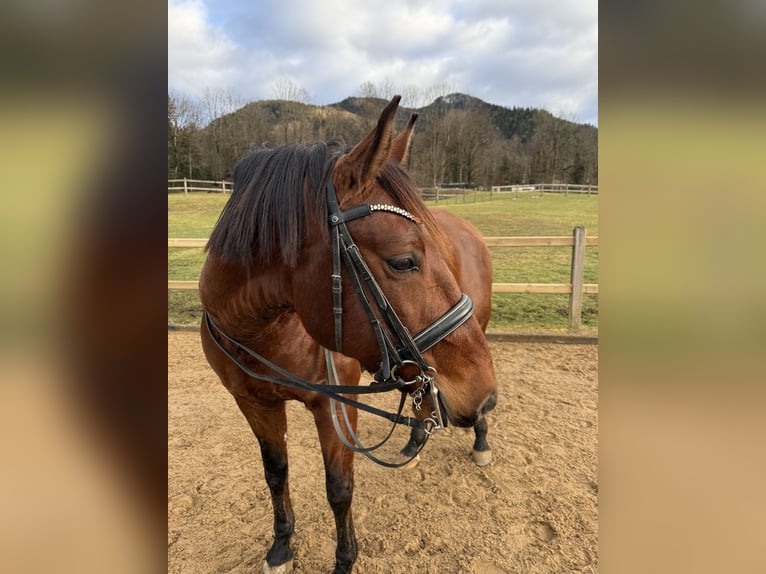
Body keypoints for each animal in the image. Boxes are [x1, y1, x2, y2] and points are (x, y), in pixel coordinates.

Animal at [198, 99, 498, 574]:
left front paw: (344, 560)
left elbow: (339, 487)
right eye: (404, 261)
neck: (261, 330)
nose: (483, 391)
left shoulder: (335, 402)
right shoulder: (252, 402)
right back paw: (419, 435)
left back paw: (481, 438)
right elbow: (275, 473)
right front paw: (281, 545)